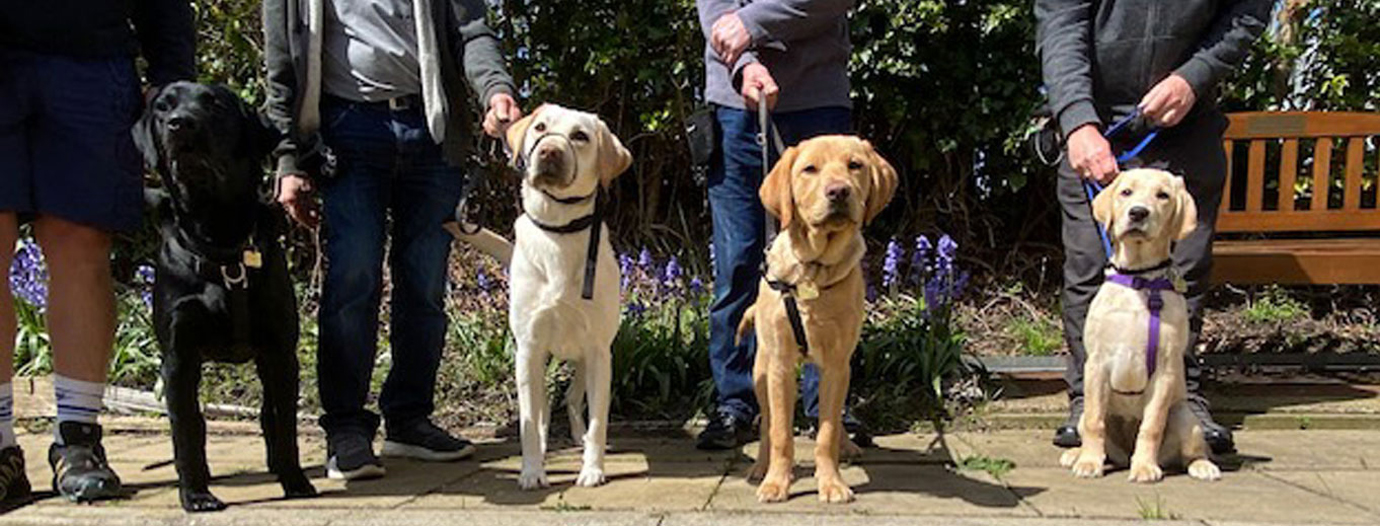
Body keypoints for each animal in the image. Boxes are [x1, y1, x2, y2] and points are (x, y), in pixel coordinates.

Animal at [133, 82, 316, 513]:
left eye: (215, 104)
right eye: (162, 106)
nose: (179, 123)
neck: (218, 237)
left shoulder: (280, 352)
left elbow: (285, 423)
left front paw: (294, 480)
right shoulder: (178, 359)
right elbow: (186, 431)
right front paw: (196, 494)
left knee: (269, 416)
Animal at [505, 104, 632, 488]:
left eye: (580, 136)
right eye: (540, 128)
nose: (549, 151)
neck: (559, 231)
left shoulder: (599, 351)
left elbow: (599, 421)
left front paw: (593, 469)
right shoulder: (528, 348)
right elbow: (529, 422)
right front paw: (533, 471)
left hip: (586, 359)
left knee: (574, 401)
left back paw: (580, 437)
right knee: (545, 407)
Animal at [739, 133, 899, 499]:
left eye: (855, 165)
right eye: (809, 169)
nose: (839, 191)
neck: (814, 270)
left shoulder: (839, 364)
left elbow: (826, 431)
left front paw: (832, 483)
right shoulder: (780, 366)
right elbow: (781, 433)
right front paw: (776, 482)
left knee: (835, 417)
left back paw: (848, 446)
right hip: (762, 370)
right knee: (767, 424)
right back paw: (760, 468)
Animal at [1059, 165, 1225, 480]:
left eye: (1163, 195)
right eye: (1126, 192)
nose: (1138, 212)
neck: (1139, 278)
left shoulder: (1165, 371)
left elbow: (1151, 426)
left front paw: (1145, 466)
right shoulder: (1096, 364)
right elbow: (1095, 423)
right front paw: (1089, 462)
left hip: (1184, 415)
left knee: (1190, 450)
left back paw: (1201, 465)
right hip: (1089, 411)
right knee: (1090, 426)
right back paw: (1077, 455)